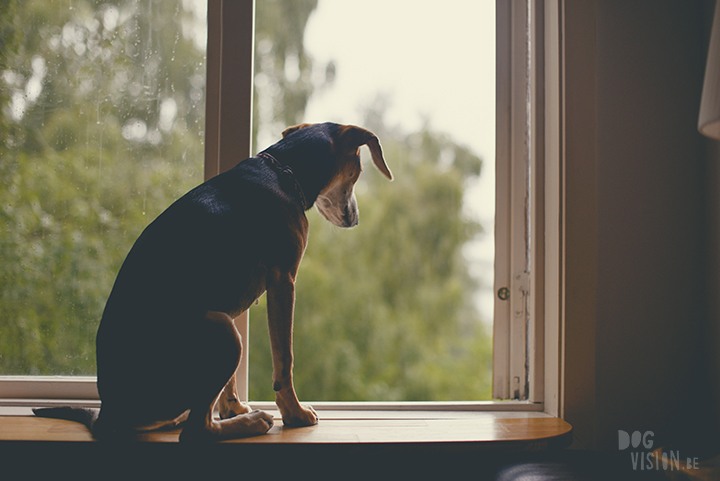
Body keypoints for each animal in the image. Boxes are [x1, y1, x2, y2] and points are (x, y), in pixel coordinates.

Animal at [33, 122, 394, 440]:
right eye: (357, 172)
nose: (354, 219)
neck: (283, 171)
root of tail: (108, 414)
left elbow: (232, 381)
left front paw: (234, 407)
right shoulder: (283, 282)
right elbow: (284, 360)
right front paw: (294, 414)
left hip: (225, 326)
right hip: (222, 330)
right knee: (197, 432)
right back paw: (252, 423)